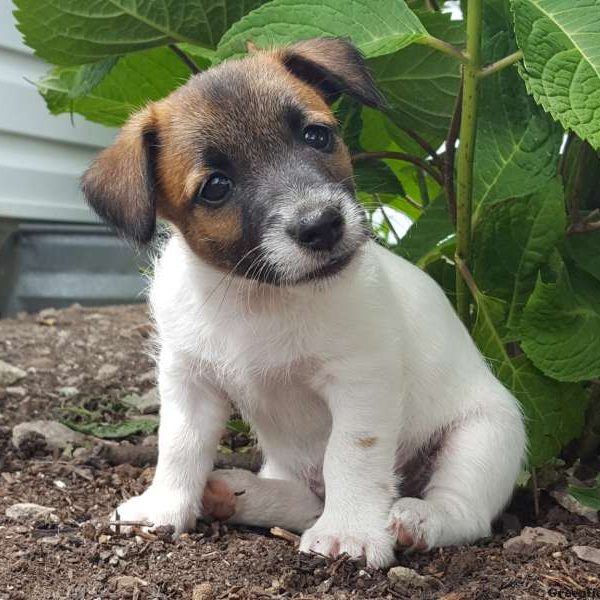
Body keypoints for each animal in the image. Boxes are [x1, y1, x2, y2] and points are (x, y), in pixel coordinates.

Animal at [83, 37, 524, 568]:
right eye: (216, 187)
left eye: (317, 136)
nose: (322, 225)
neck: (260, 297)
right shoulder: (189, 381)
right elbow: (179, 446)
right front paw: (164, 507)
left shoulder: (361, 382)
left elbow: (350, 456)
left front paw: (350, 531)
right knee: (308, 499)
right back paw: (240, 494)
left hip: (485, 436)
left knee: (463, 510)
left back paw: (417, 518)